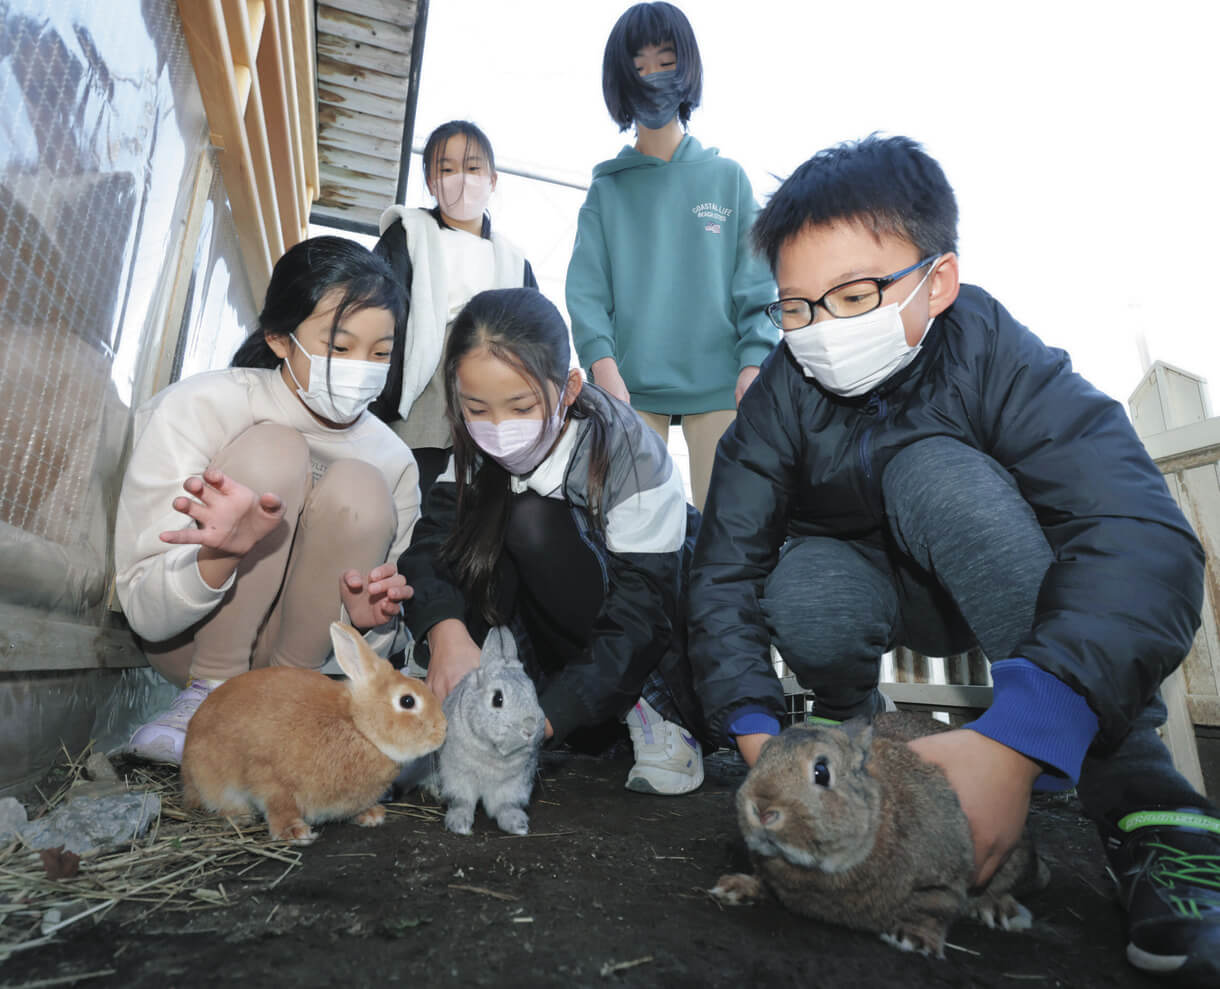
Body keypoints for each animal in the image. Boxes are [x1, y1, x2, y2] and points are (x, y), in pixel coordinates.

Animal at [178, 619, 446, 843]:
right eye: (407, 701)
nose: (443, 731)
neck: (358, 728)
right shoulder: (268, 777)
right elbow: (279, 805)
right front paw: (294, 832)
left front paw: (372, 815)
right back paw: (240, 817)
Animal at [429, 624, 544, 834]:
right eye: (497, 699)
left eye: (534, 694)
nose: (530, 729)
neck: (493, 751)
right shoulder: (457, 775)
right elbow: (462, 801)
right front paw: (460, 825)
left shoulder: (513, 784)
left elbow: (505, 805)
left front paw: (518, 825)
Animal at [712, 712, 1049, 960]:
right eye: (760, 760)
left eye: (821, 772)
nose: (762, 809)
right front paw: (735, 888)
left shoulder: (943, 880)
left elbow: (933, 908)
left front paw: (913, 940)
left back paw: (999, 910)